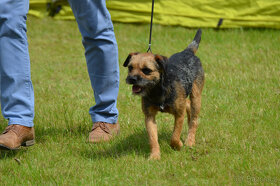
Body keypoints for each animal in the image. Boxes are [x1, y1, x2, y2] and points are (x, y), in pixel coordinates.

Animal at [123, 29, 205, 160]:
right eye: (130, 67)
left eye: (146, 70)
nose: (132, 79)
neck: (158, 90)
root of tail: (187, 52)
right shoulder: (149, 117)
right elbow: (153, 139)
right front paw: (155, 155)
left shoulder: (179, 115)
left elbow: (175, 136)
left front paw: (178, 145)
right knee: (187, 105)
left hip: (196, 97)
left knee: (194, 120)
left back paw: (190, 141)